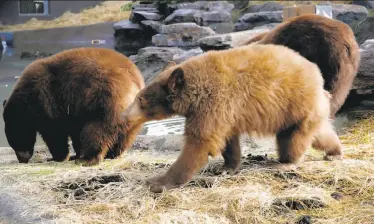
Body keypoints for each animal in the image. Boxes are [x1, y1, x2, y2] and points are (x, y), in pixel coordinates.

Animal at [2, 47, 145, 165]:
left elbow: (54, 130)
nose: (22, 159)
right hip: (134, 115)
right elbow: (74, 130)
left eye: (15, 141)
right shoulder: (72, 110)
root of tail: (134, 81)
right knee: (126, 135)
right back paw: (113, 154)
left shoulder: (45, 99)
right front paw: (75, 154)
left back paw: (89, 158)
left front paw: (59, 157)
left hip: (106, 99)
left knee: (97, 130)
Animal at [122, 44, 342, 192]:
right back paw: (334, 151)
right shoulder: (225, 111)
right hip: (298, 110)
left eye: (140, 99)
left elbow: (200, 142)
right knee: (317, 132)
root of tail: (318, 75)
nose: (124, 114)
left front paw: (158, 181)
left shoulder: (214, 101)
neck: (196, 89)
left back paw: (285, 162)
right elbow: (227, 138)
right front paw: (227, 167)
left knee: (293, 138)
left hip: (295, 102)